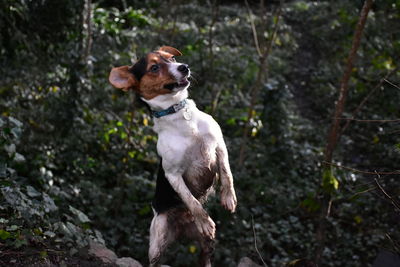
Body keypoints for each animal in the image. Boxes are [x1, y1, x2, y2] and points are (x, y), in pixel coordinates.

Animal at [108, 46, 238, 267]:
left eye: (172, 58)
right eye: (154, 67)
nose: (184, 67)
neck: (179, 114)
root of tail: (182, 230)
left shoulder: (219, 145)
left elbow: (227, 174)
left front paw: (228, 198)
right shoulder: (173, 174)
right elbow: (192, 201)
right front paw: (205, 220)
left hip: (208, 243)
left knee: (205, 257)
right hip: (158, 241)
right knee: (156, 260)